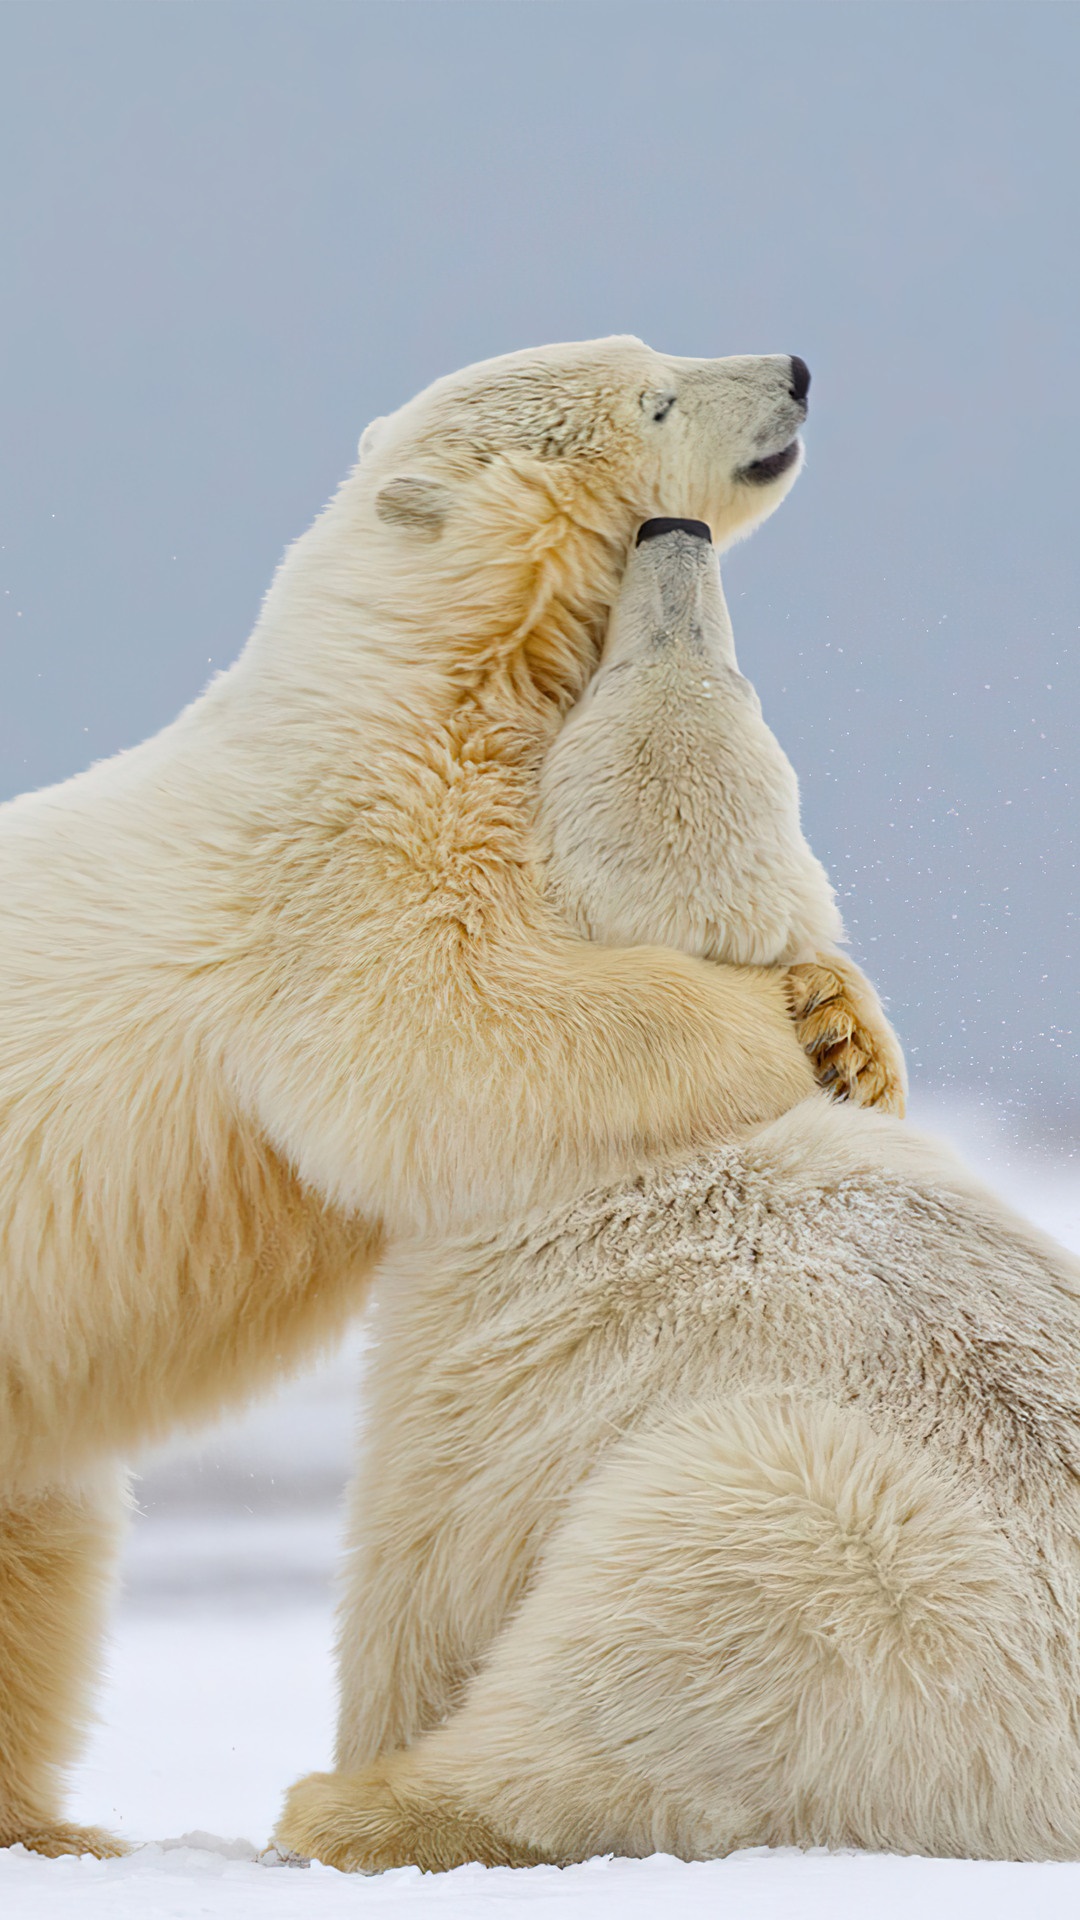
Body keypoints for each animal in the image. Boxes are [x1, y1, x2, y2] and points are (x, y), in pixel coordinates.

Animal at [0, 338, 903, 1857]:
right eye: (659, 396)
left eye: (660, 352)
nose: (793, 366)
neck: (412, 678)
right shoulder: (342, 861)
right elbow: (440, 1029)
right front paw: (769, 1030)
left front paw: (850, 1034)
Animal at [276, 519, 1080, 1870]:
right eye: (739, 678)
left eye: (599, 697)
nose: (675, 531)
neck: (679, 1131)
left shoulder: (481, 1351)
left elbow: (421, 1567)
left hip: (829, 1558)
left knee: (657, 1644)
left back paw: (356, 1809)